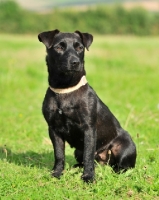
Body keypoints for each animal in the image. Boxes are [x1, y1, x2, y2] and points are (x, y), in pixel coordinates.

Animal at [38, 30, 136, 183]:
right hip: (78, 151)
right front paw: (57, 173)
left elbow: (88, 155)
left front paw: (89, 177)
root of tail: (104, 161)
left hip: (125, 147)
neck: (66, 89)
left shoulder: (88, 128)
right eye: (59, 47)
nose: (75, 62)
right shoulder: (54, 129)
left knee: (120, 167)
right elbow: (59, 155)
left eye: (80, 47)